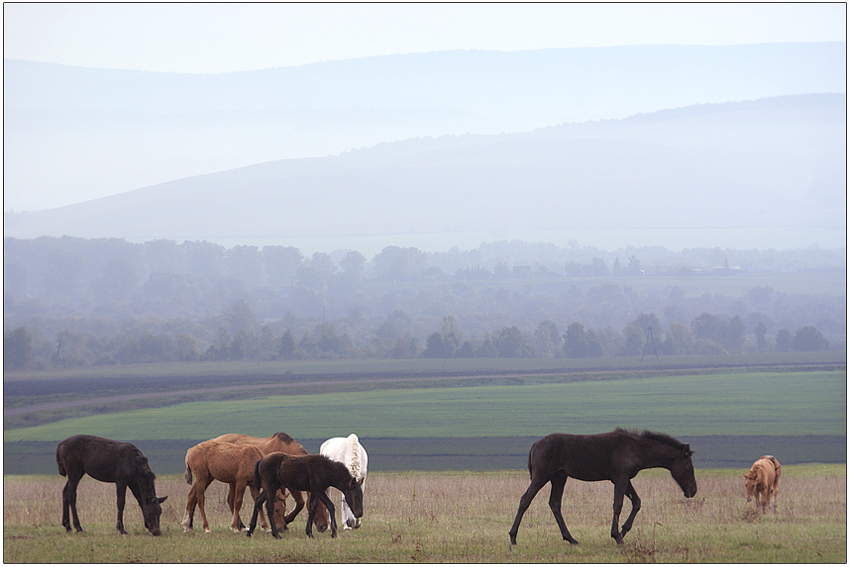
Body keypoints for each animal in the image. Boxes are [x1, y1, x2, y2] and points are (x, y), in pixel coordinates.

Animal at [506, 430, 692, 544]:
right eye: (689, 466)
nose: (692, 491)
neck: (636, 448)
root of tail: (536, 444)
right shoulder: (621, 478)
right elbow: (618, 504)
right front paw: (617, 536)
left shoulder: (624, 479)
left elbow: (637, 502)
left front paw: (623, 531)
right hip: (541, 476)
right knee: (525, 499)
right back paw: (513, 537)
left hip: (559, 477)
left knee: (555, 503)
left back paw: (571, 538)